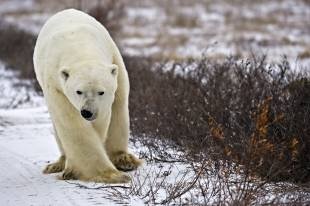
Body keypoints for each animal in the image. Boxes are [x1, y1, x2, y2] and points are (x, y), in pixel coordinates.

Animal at [33, 8, 142, 183]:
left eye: (101, 92)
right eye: (78, 91)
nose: (87, 112)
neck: (80, 48)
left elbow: (102, 119)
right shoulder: (55, 84)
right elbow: (70, 122)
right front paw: (108, 174)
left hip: (117, 64)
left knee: (120, 103)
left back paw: (124, 160)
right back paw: (58, 164)